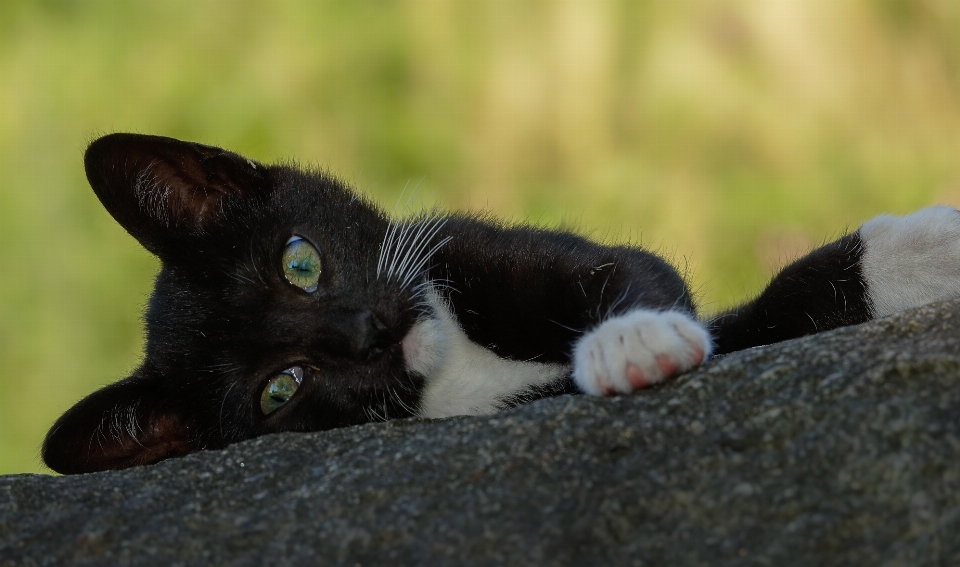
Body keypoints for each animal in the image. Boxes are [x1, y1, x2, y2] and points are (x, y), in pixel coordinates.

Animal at [41, 133, 960, 474]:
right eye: (281, 387)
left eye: (299, 262)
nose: (367, 331)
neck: (457, 358)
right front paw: (632, 353)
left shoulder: (469, 247)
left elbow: (670, 283)